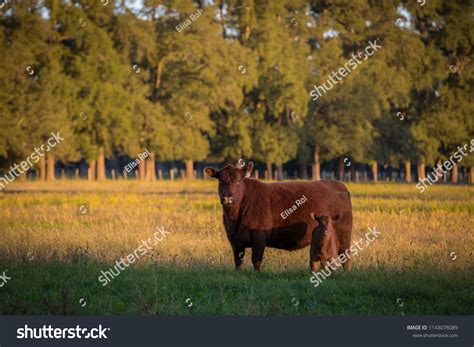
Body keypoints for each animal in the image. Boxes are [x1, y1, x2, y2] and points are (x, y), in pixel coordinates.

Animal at [204, 162, 352, 274]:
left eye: (239, 180)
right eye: (221, 181)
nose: (227, 198)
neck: (234, 218)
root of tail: (339, 184)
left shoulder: (259, 237)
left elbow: (256, 259)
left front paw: (256, 275)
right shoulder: (234, 239)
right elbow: (238, 261)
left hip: (344, 234)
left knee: (345, 256)